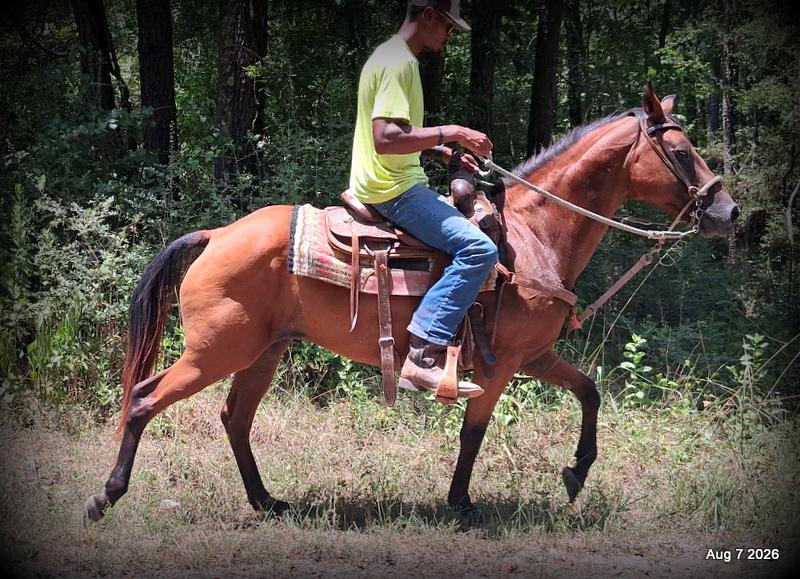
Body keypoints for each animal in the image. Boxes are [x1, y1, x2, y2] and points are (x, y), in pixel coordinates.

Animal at [85, 86, 738, 523]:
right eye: (682, 153)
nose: (727, 211)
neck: (533, 235)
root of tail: (217, 234)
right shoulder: (500, 366)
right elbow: (474, 432)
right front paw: (461, 503)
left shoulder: (535, 355)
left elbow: (590, 391)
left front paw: (576, 474)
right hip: (216, 350)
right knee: (144, 399)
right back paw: (105, 496)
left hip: (261, 352)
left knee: (234, 419)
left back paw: (267, 501)